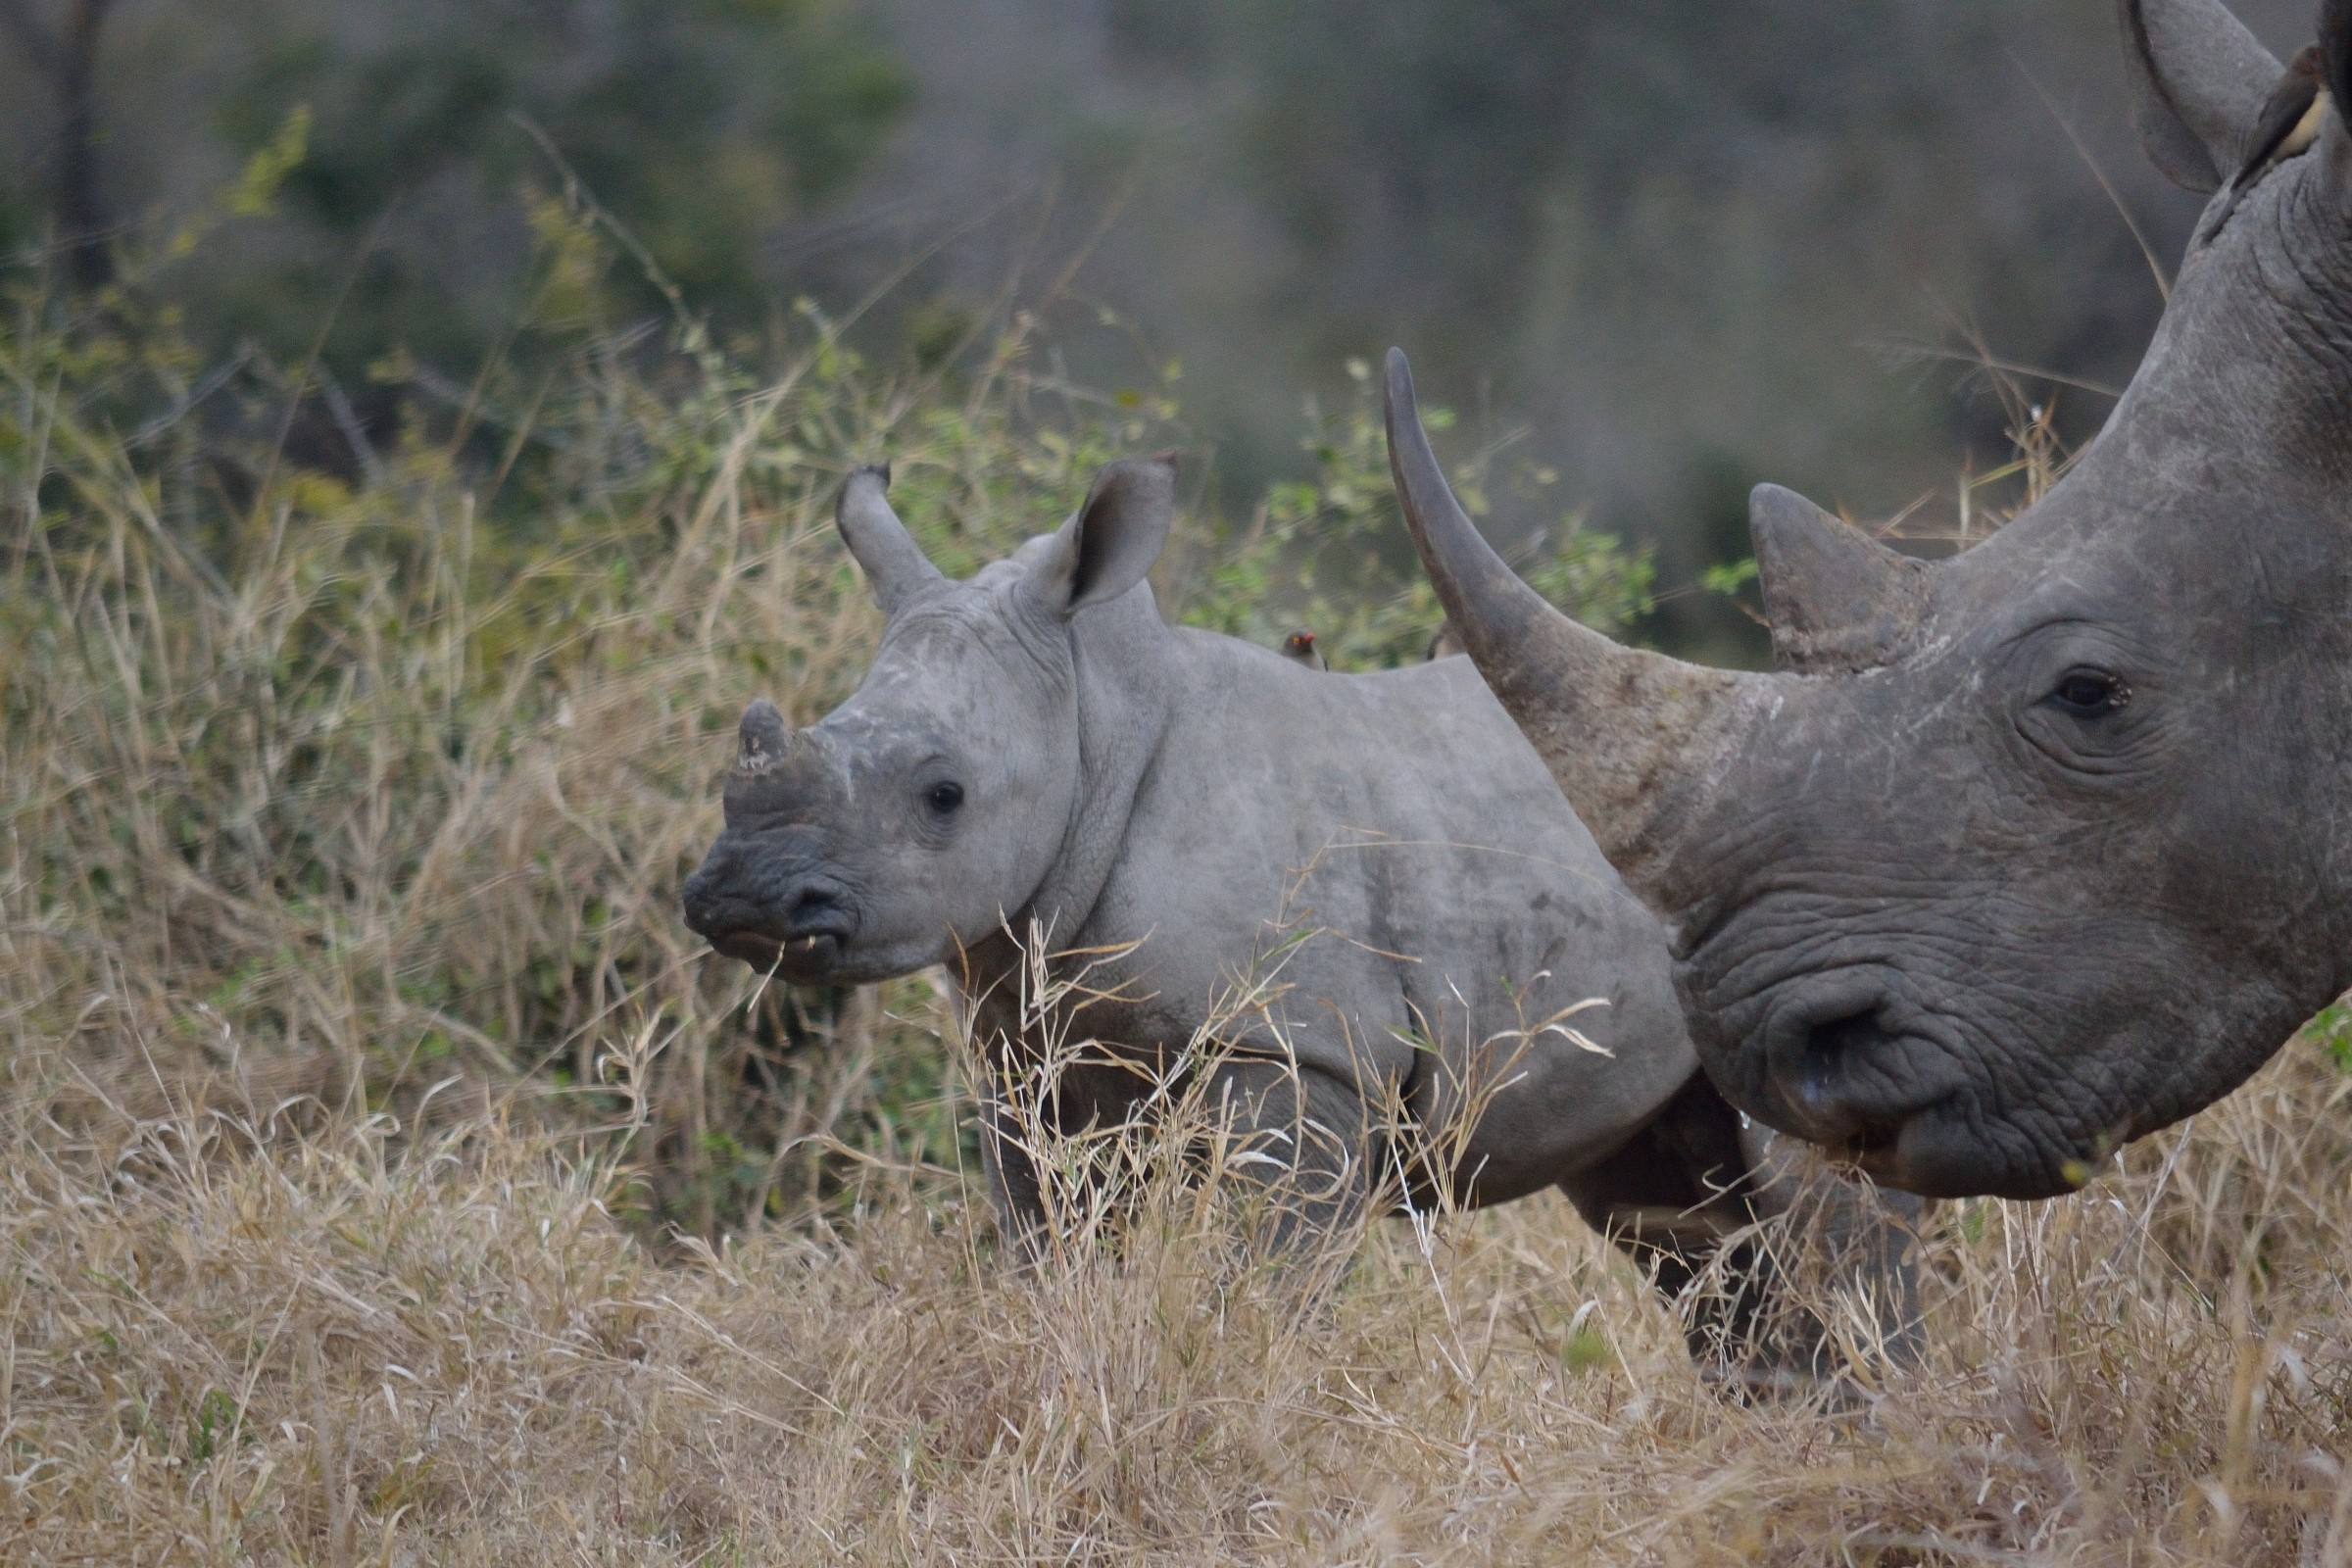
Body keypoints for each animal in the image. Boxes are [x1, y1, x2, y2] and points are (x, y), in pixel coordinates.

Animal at [682, 459, 1916, 1369]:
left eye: (944, 795)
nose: (737, 896)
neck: (1097, 730)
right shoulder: (1029, 1052)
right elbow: (1050, 1247)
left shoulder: (1300, 1045)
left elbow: (1266, 1271)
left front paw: (1237, 1383)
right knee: (1685, 1223)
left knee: (1819, 1211)